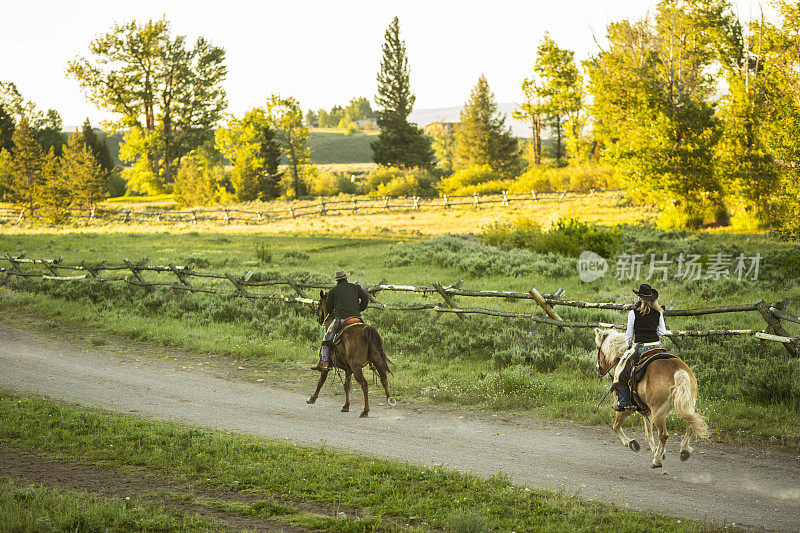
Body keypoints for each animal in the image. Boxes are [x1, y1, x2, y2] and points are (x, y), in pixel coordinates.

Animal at [306, 288, 394, 418]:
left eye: (319, 304)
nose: (319, 319)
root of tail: (368, 330)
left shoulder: (328, 365)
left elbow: (321, 381)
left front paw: (312, 398)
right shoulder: (348, 369)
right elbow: (347, 386)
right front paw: (346, 406)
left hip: (357, 367)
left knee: (364, 384)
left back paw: (365, 410)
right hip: (377, 361)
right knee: (384, 379)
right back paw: (390, 400)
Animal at [592, 326, 708, 468]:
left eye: (598, 347)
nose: (598, 368)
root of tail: (679, 372)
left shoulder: (627, 408)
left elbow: (616, 426)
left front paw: (631, 443)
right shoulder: (645, 410)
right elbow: (648, 433)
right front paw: (656, 450)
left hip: (659, 413)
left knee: (663, 435)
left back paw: (657, 461)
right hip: (686, 406)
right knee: (690, 425)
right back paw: (684, 451)